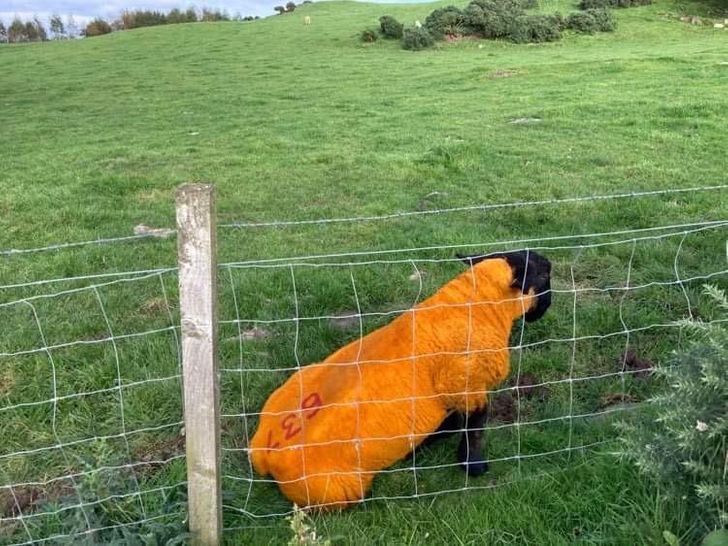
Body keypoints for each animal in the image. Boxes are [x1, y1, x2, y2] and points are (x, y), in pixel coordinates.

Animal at [250, 249, 552, 508]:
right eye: (544, 275)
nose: (546, 307)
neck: (478, 305)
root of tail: (265, 453)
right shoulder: (467, 385)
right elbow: (474, 426)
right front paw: (473, 465)